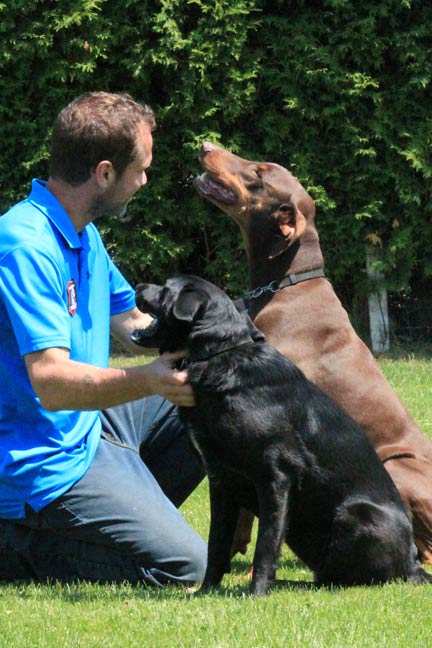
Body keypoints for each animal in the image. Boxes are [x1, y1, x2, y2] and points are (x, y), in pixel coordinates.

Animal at [132, 276, 432, 596]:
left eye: (166, 288)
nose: (137, 286)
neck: (220, 353)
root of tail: (413, 566)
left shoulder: (275, 476)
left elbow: (266, 544)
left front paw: (256, 594)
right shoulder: (221, 480)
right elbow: (217, 544)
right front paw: (206, 591)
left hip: (356, 514)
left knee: (349, 580)